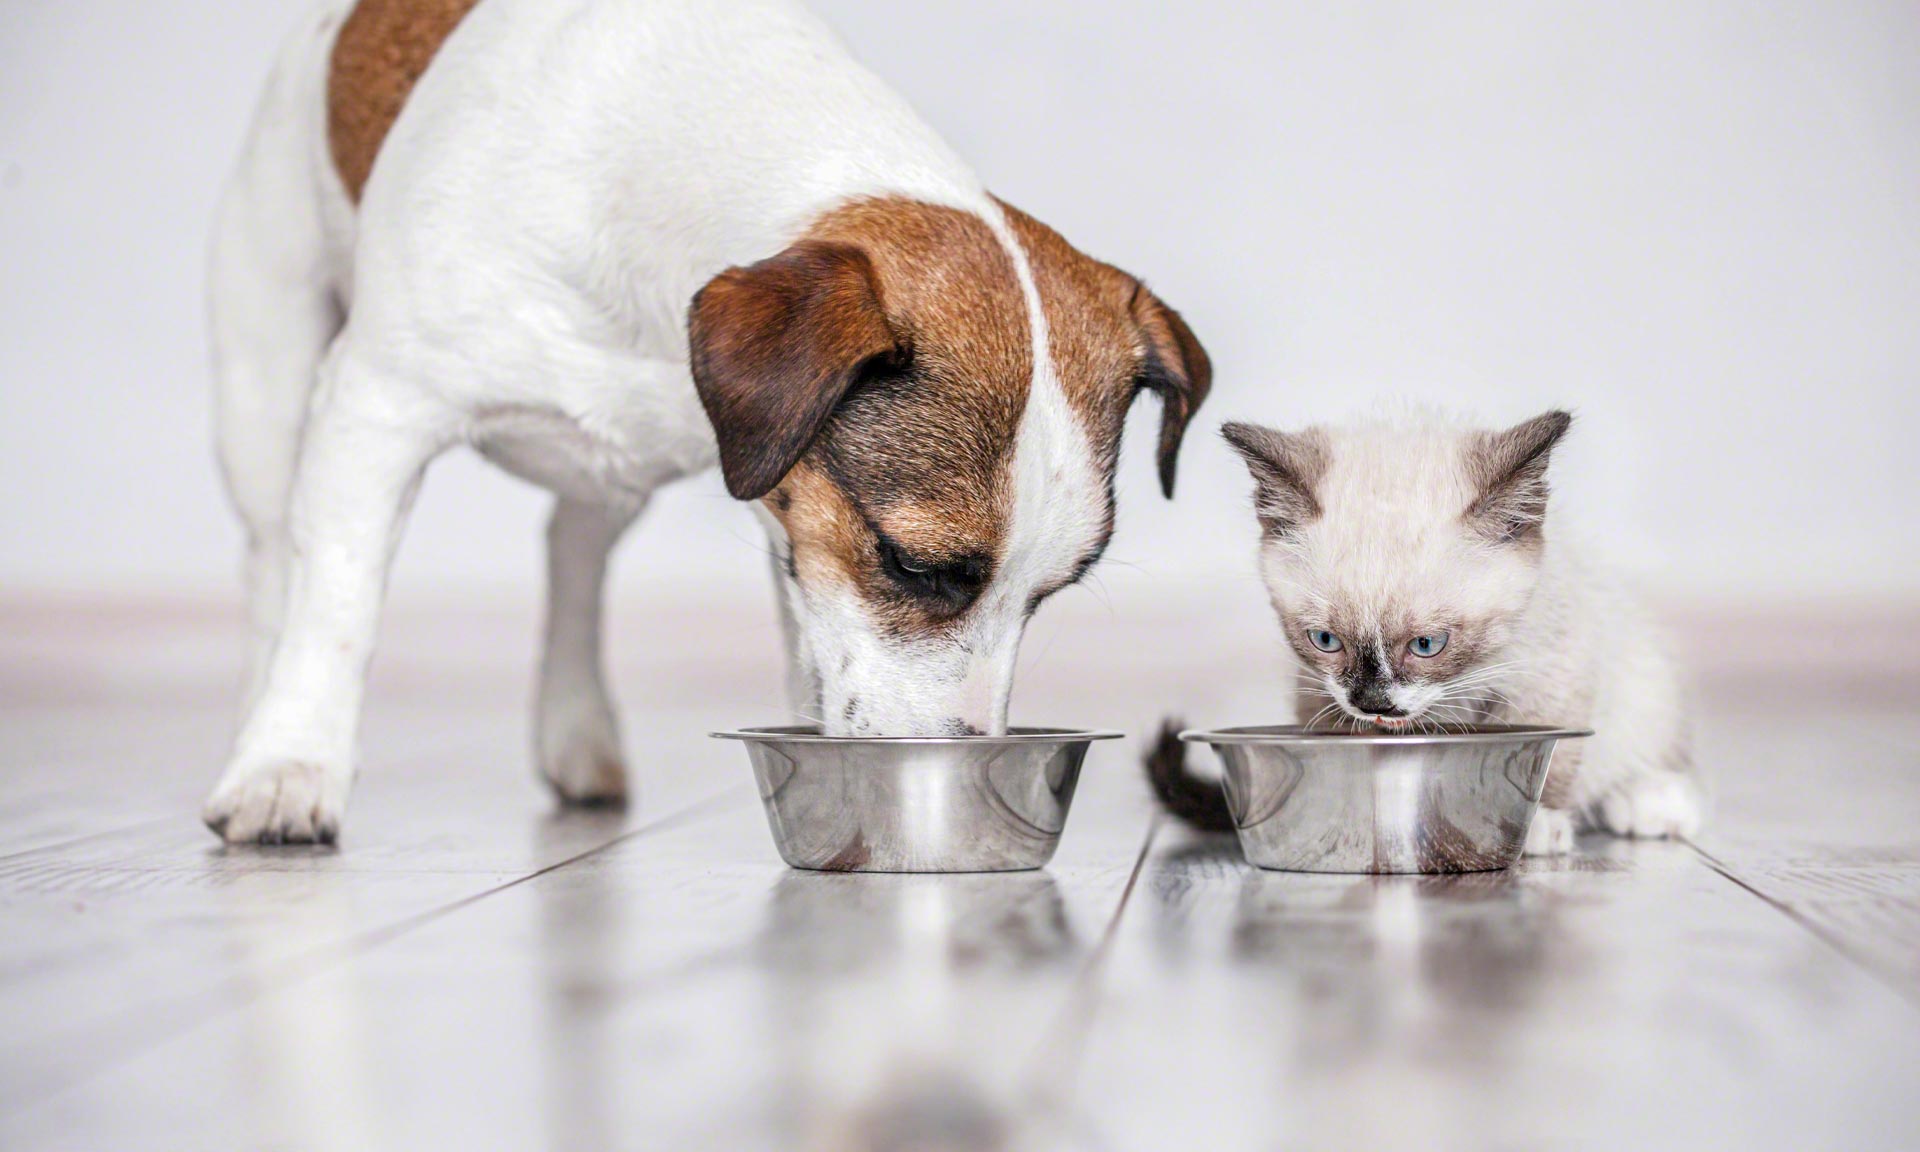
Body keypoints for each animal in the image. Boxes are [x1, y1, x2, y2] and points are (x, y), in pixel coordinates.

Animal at [198, 0, 1213, 844]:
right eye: (914, 566)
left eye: (1051, 594)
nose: (962, 745)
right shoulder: (378, 406)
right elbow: (335, 604)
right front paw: (292, 763)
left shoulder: (788, 509)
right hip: (269, 380)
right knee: (271, 562)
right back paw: (257, 718)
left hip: (616, 467)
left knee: (574, 552)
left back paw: (578, 727)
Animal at [1144, 414, 1704, 856]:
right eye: (1325, 640)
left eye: (1427, 646)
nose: (1373, 703)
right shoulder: (1316, 691)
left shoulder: (1551, 666)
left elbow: (1554, 748)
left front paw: (1539, 824)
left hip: (1641, 676)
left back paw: (1651, 801)